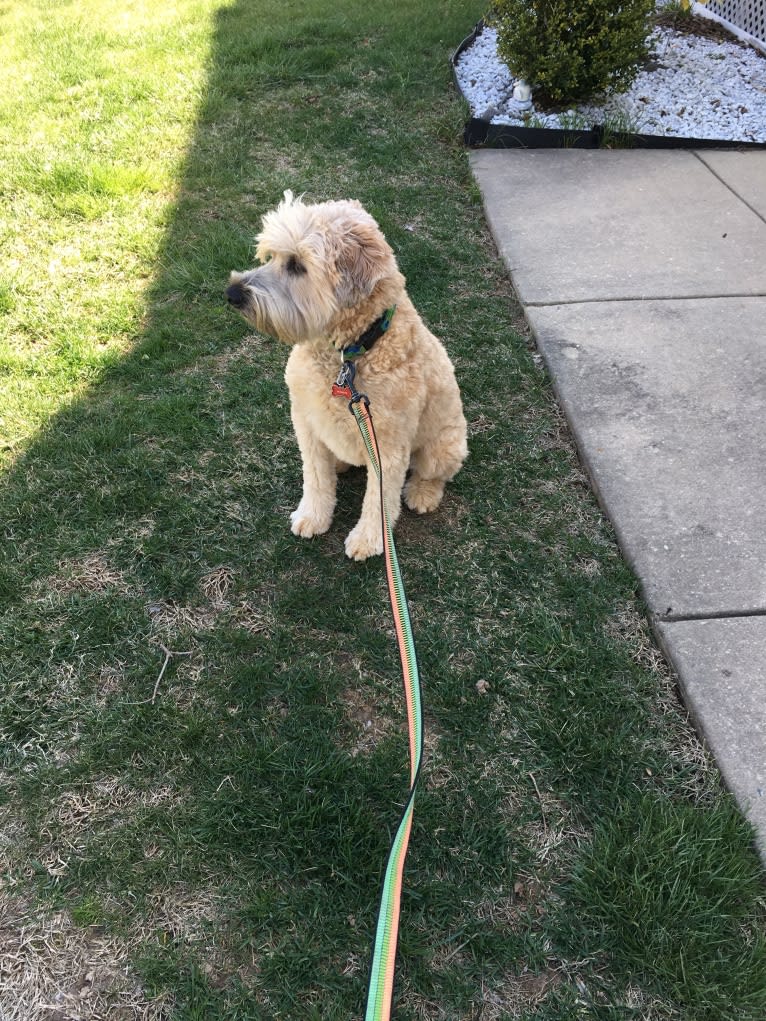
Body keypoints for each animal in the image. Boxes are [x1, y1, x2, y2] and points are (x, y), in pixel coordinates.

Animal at [224, 191, 471, 559]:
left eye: (296, 265)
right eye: (272, 257)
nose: (232, 294)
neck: (348, 353)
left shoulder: (388, 445)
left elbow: (379, 498)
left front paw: (368, 539)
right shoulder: (306, 422)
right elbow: (315, 476)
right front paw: (313, 516)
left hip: (443, 447)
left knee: (433, 475)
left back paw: (422, 494)